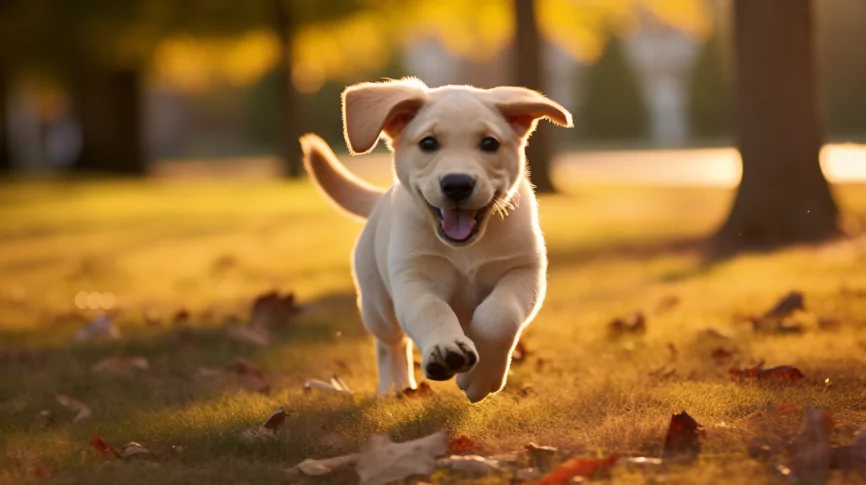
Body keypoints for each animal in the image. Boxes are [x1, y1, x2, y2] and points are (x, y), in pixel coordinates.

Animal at [300, 76, 572, 400]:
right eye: (428, 143)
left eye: (489, 143)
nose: (457, 184)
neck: (466, 249)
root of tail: (380, 200)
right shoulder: (413, 279)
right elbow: (432, 310)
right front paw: (446, 350)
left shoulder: (523, 271)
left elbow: (499, 316)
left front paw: (481, 377)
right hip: (377, 303)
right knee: (390, 344)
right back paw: (395, 386)